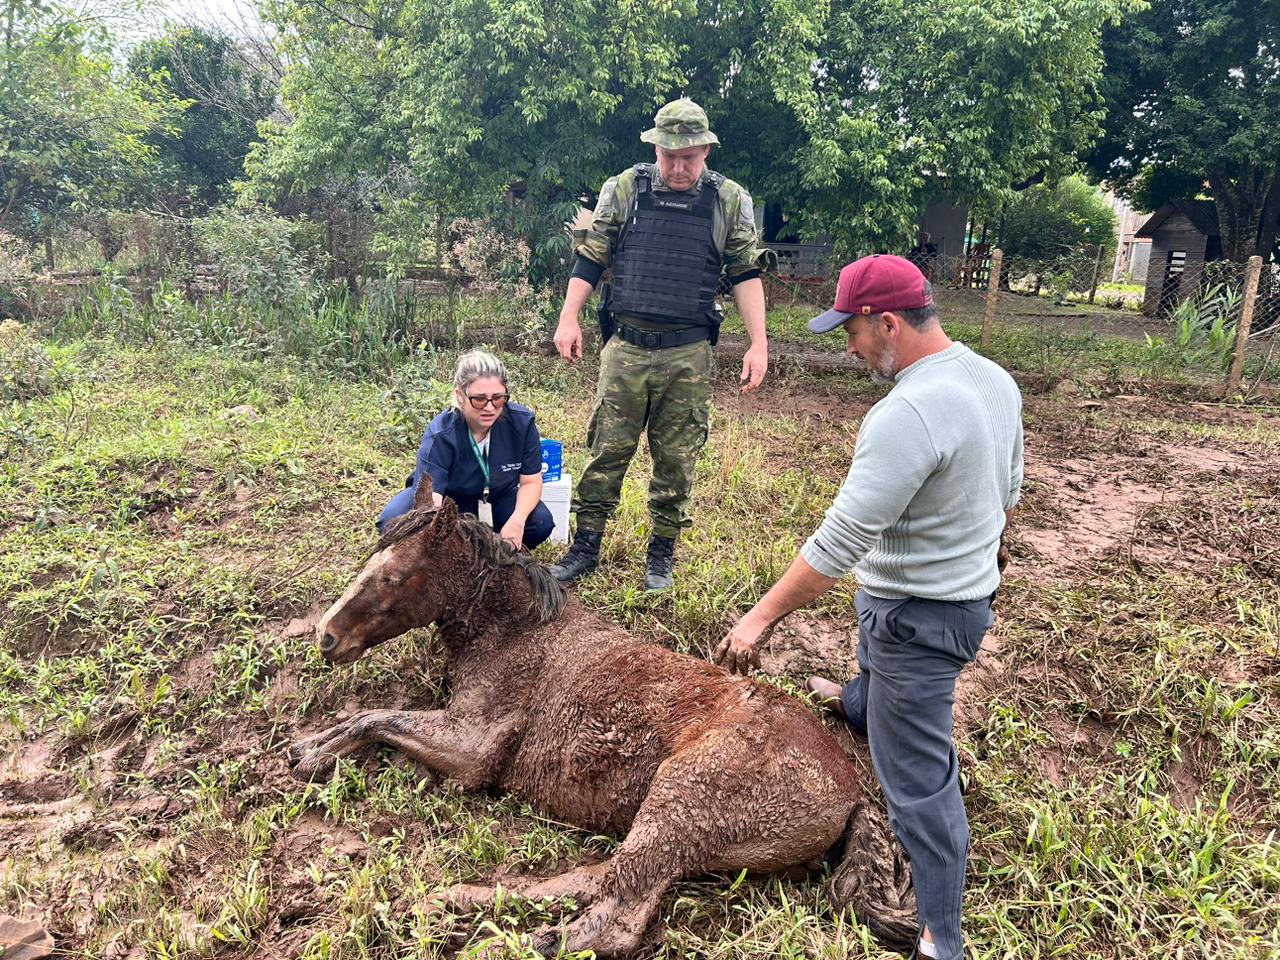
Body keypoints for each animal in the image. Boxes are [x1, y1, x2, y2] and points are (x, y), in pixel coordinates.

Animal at [289, 473, 915, 955]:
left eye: (393, 576)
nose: (327, 638)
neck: (517, 631)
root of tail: (854, 793)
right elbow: (379, 716)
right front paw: (312, 746)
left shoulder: (473, 748)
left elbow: (380, 718)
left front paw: (314, 754)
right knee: (603, 883)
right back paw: (449, 903)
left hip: (680, 804)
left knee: (616, 912)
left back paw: (486, 934)